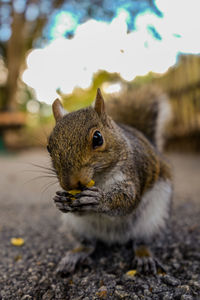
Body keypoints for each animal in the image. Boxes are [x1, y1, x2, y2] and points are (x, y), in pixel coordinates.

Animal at [47, 86, 173, 274]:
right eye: (49, 148)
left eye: (98, 138)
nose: (70, 183)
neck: (99, 179)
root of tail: (114, 238)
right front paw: (60, 201)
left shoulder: (131, 174)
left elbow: (128, 200)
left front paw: (98, 200)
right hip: (78, 227)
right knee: (88, 244)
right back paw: (75, 255)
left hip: (151, 221)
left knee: (140, 241)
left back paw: (144, 255)